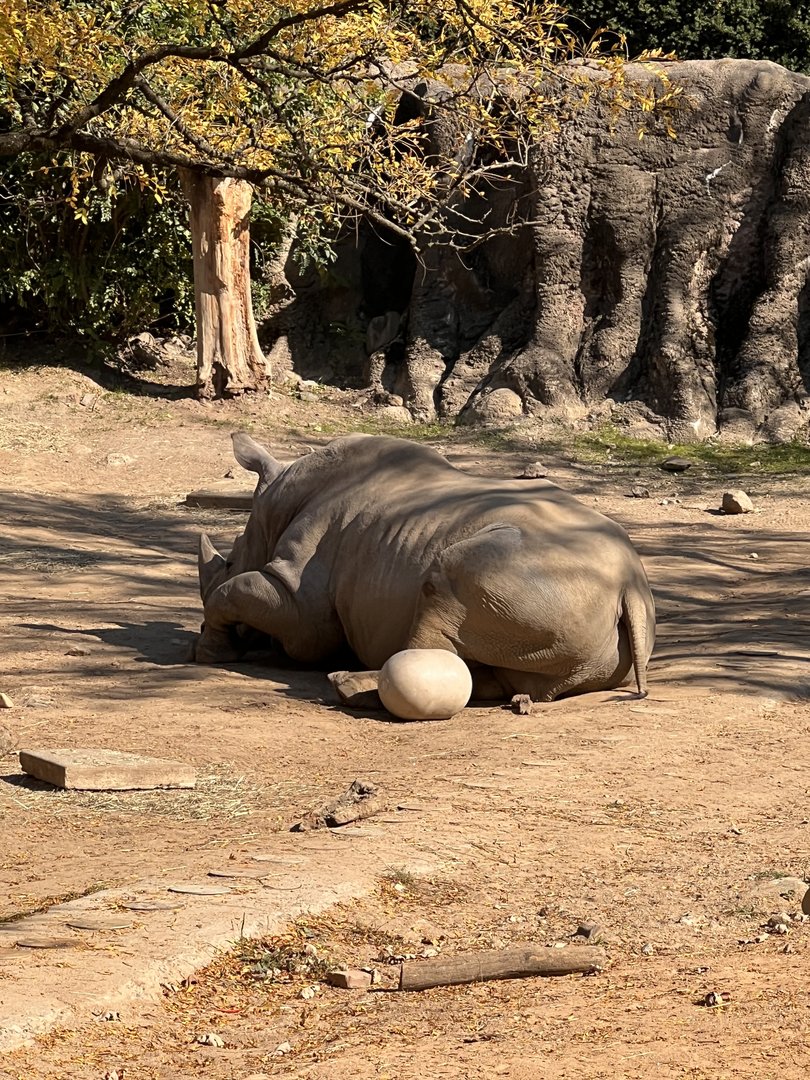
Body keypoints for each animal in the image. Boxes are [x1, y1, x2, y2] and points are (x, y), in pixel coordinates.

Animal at [195, 432, 655, 703]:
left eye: (229, 560)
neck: (276, 504)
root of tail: (628, 585)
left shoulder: (297, 597)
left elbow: (236, 592)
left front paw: (209, 651)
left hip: (532, 574)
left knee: (443, 585)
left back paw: (344, 684)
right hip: (569, 597)